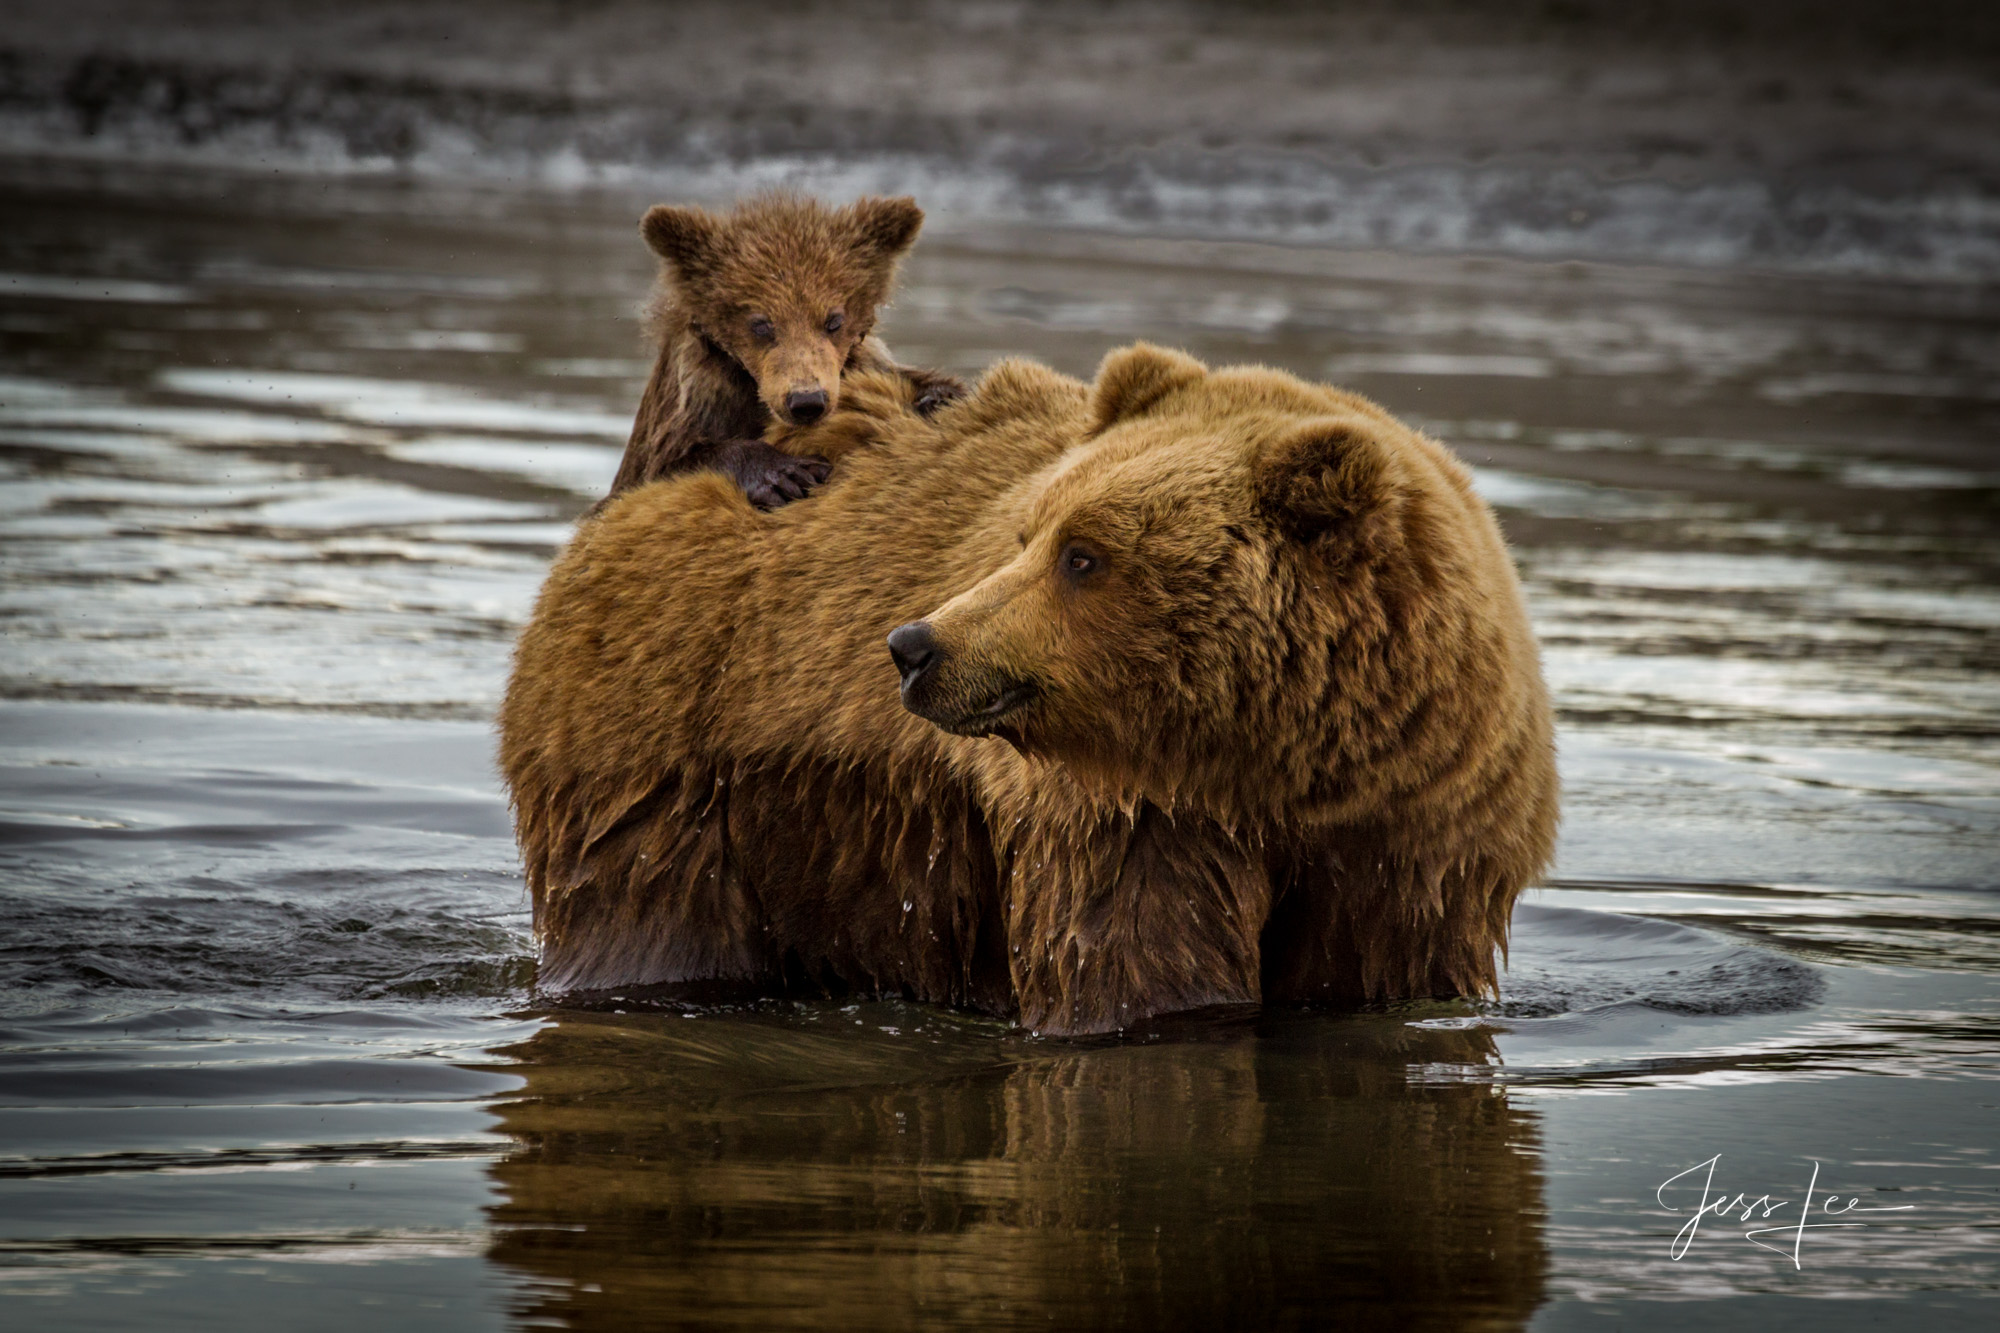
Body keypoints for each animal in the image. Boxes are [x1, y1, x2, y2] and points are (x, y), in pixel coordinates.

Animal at [500, 340, 1560, 1024]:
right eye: (1030, 533)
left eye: (1082, 556)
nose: (914, 643)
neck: (1277, 758)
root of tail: (650, 487)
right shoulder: (1132, 816)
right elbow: (1138, 966)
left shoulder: (1417, 838)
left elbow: (1384, 973)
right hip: (664, 738)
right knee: (648, 904)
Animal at [600, 192, 960, 508]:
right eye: (761, 324)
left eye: (833, 320)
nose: (806, 401)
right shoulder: (698, 396)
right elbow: (669, 463)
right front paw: (786, 475)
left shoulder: (861, 362)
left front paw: (936, 396)